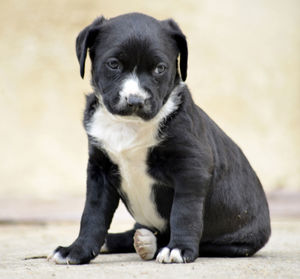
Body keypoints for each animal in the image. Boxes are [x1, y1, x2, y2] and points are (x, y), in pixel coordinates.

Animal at [48, 13, 270, 266]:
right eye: (113, 64)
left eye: (160, 68)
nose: (135, 101)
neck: (129, 124)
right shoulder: (99, 171)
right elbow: (92, 215)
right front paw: (77, 249)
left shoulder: (191, 169)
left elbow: (184, 213)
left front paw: (179, 248)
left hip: (237, 243)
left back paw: (152, 244)